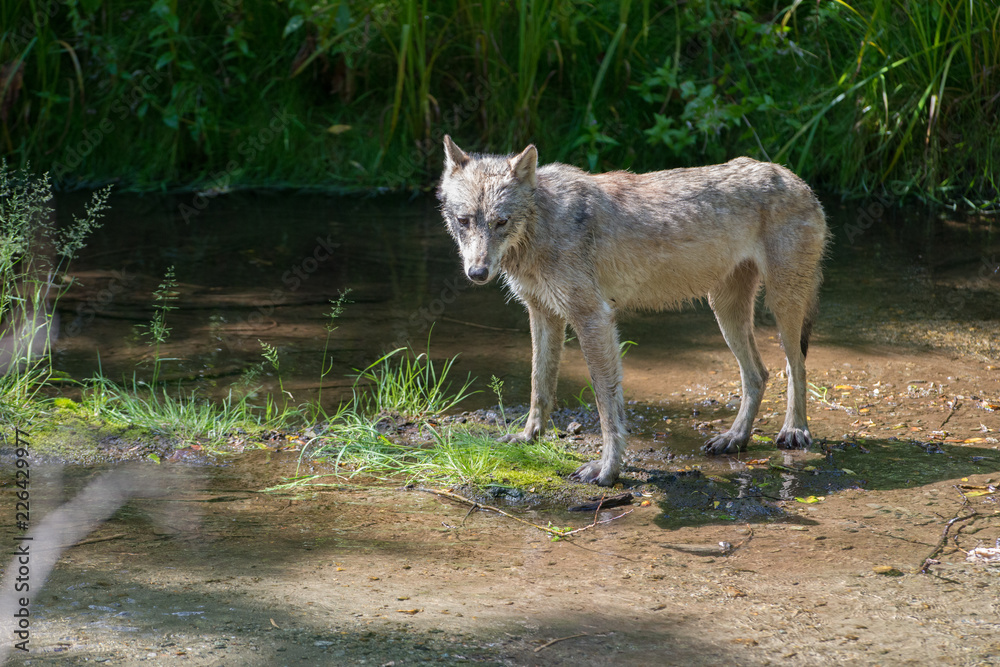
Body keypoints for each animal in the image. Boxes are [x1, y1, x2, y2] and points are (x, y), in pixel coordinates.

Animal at [437, 136, 828, 486]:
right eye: (464, 220)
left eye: (501, 222)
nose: (477, 273)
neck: (541, 225)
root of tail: (795, 178)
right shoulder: (543, 315)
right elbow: (539, 385)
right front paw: (527, 438)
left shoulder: (593, 319)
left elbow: (606, 404)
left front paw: (607, 469)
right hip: (725, 310)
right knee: (758, 374)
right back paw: (734, 439)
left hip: (782, 306)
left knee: (795, 367)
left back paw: (795, 430)